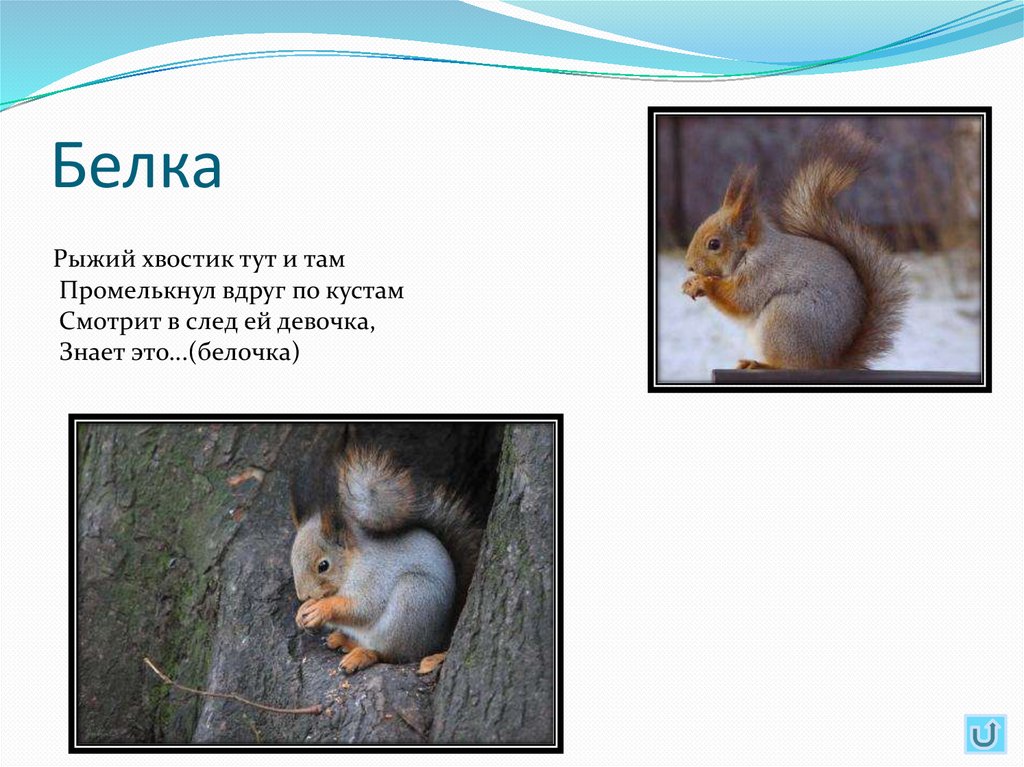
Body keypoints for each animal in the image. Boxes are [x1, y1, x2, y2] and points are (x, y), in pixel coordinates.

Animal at [289, 445, 482, 674]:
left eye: (323, 566)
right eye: (292, 561)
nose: (303, 596)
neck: (352, 564)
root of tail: (438, 638)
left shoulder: (374, 577)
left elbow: (363, 608)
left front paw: (321, 608)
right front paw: (303, 610)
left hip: (410, 600)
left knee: (389, 654)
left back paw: (362, 655)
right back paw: (343, 640)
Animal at [682, 122, 910, 370]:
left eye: (714, 244)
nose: (689, 266)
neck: (750, 251)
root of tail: (830, 361)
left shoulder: (761, 271)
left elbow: (740, 300)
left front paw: (704, 283)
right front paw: (691, 282)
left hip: (785, 319)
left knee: (789, 365)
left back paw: (760, 365)